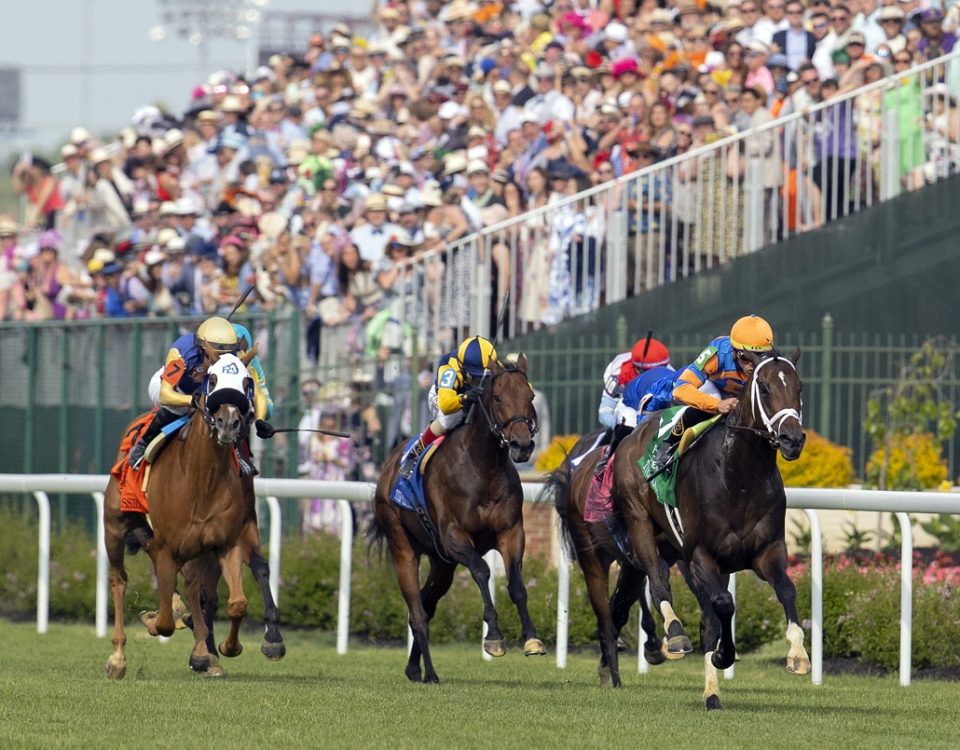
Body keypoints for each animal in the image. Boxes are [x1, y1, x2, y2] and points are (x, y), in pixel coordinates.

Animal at [103, 354, 260, 680]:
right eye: (212, 379)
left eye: (246, 381)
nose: (228, 423)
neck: (201, 479)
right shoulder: (165, 548)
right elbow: (162, 623)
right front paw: (154, 621)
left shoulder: (226, 543)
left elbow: (237, 603)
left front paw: (226, 647)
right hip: (114, 529)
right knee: (118, 580)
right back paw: (117, 658)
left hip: (197, 550)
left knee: (191, 586)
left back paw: (203, 651)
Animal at [370, 358, 544, 688]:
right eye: (497, 397)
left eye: (530, 397)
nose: (522, 445)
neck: (484, 468)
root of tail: (387, 467)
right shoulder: (454, 537)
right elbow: (482, 570)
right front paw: (494, 638)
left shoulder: (512, 532)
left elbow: (516, 584)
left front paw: (532, 639)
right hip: (404, 548)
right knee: (417, 614)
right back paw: (430, 673)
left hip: (442, 564)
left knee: (427, 605)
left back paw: (414, 669)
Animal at [612, 348, 808, 712]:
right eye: (764, 388)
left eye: (799, 387)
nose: (793, 439)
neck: (740, 480)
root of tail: (634, 433)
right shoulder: (702, 555)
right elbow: (723, 605)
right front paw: (721, 656)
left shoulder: (768, 551)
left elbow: (786, 590)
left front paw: (798, 654)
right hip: (640, 521)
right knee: (658, 582)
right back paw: (675, 635)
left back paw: (711, 692)